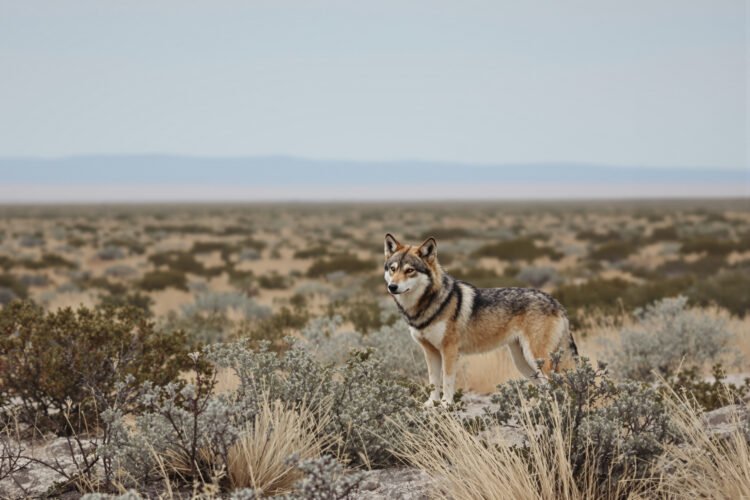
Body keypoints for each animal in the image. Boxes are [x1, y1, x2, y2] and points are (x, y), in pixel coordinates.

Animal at [383, 233, 578, 406]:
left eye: (409, 270)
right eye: (393, 269)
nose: (392, 287)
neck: (425, 305)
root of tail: (557, 302)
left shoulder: (449, 350)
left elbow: (447, 381)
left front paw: (446, 404)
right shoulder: (430, 352)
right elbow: (433, 381)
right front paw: (431, 404)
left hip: (537, 359)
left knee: (557, 385)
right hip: (523, 363)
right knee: (546, 388)